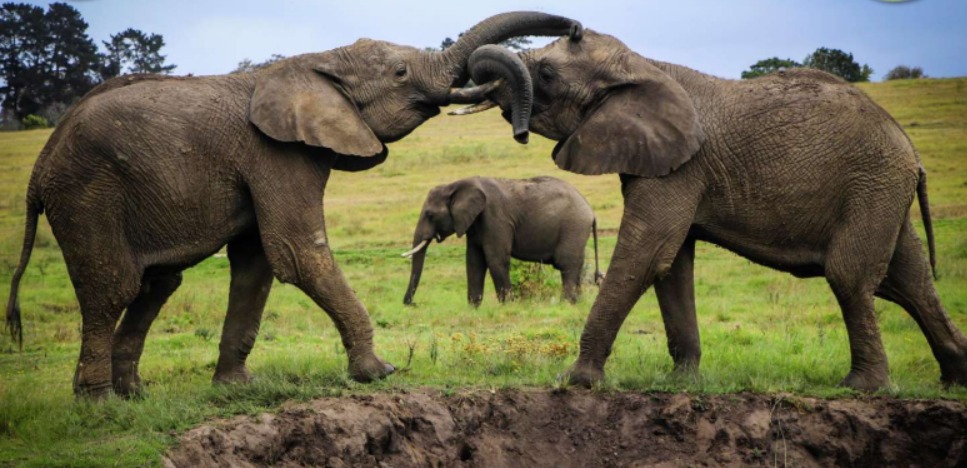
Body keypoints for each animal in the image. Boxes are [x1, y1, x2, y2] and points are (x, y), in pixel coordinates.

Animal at [402, 176, 603, 306]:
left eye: (430, 214)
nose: (410, 304)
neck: (456, 184)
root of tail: (591, 211)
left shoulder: (494, 217)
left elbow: (495, 258)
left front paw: (508, 305)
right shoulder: (474, 222)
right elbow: (474, 261)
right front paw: (474, 307)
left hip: (573, 227)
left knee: (567, 265)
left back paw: (566, 304)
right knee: (576, 266)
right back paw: (577, 302)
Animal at [460, 31, 967, 391]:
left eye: (545, 74)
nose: (518, 128)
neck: (644, 63)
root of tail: (911, 152)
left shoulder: (682, 167)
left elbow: (647, 254)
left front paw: (576, 381)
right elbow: (671, 265)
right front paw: (681, 382)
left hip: (871, 186)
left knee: (851, 275)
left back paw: (863, 387)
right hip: (883, 192)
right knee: (909, 280)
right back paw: (954, 377)